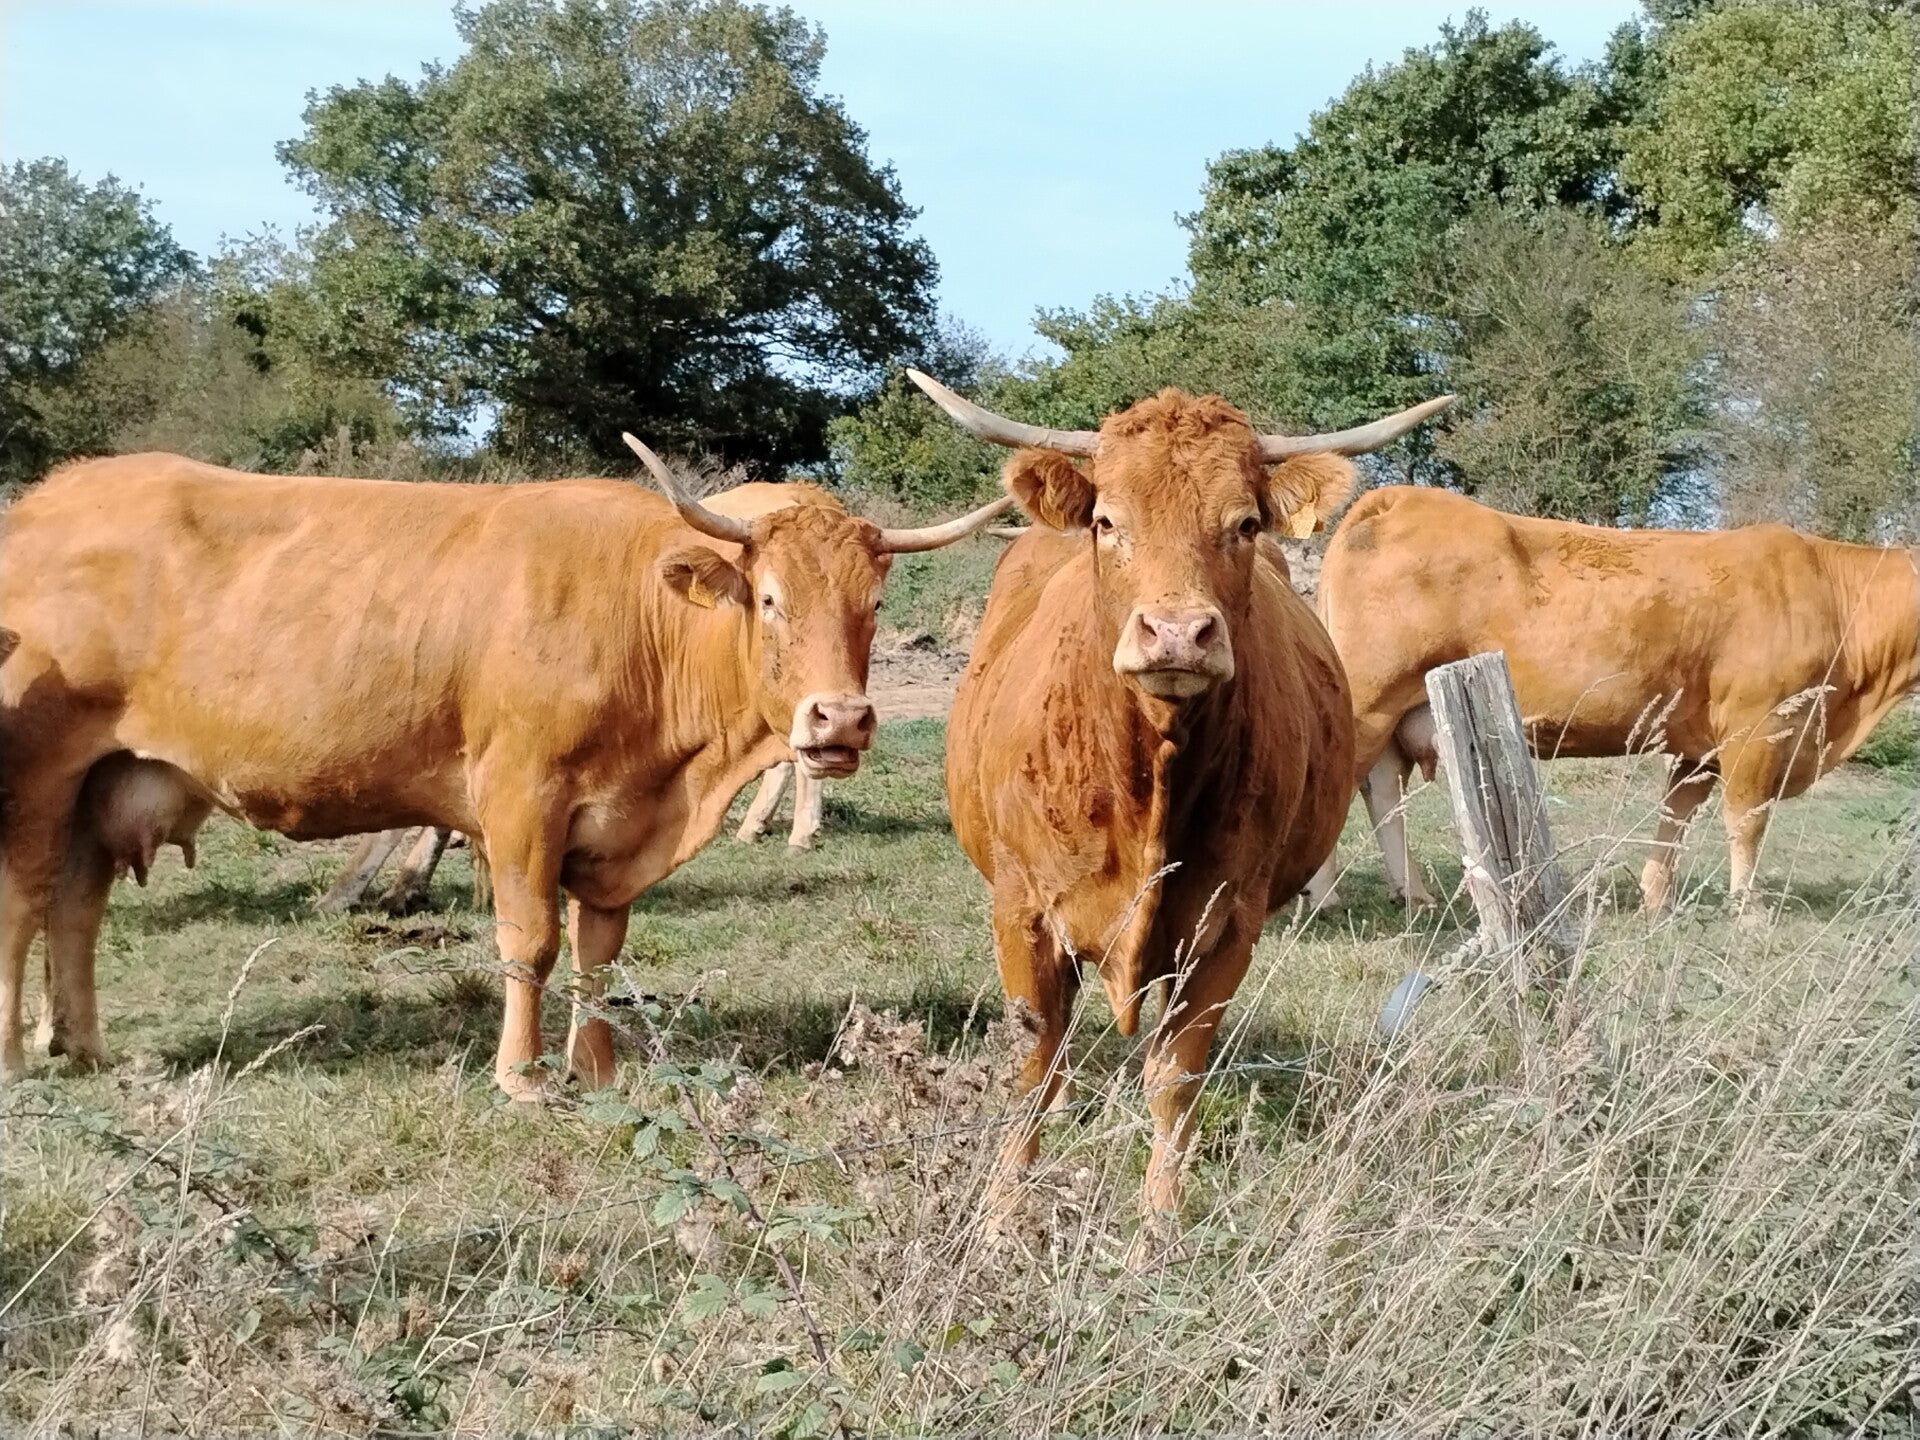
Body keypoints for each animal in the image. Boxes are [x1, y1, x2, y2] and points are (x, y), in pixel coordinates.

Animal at [0, 447, 1009, 1089]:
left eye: (873, 604)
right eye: (766, 597)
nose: (841, 718)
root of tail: (50, 499)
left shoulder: (616, 826)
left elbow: (600, 950)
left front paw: (595, 1068)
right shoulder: (524, 799)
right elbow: (532, 940)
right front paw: (521, 1076)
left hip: (102, 777)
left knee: (76, 908)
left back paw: (85, 1048)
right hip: (39, 772)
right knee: (25, 901)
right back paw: (18, 1058)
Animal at [910, 369, 1451, 1224]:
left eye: (1243, 523)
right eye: (1107, 521)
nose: (1175, 633)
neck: (1145, 781)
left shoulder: (1226, 924)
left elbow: (1174, 1081)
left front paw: (1157, 1226)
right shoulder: (1021, 913)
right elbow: (1032, 1071)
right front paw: (999, 1220)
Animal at [1306, 487, 1920, 915]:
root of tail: (1399, 497)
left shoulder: (1697, 747)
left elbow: (1675, 818)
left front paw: (1657, 900)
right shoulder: (1759, 726)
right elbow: (1747, 820)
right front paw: (1749, 911)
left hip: (1396, 713)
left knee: (1382, 789)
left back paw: (1411, 894)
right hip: (1368, 700)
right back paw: (1323, 897)